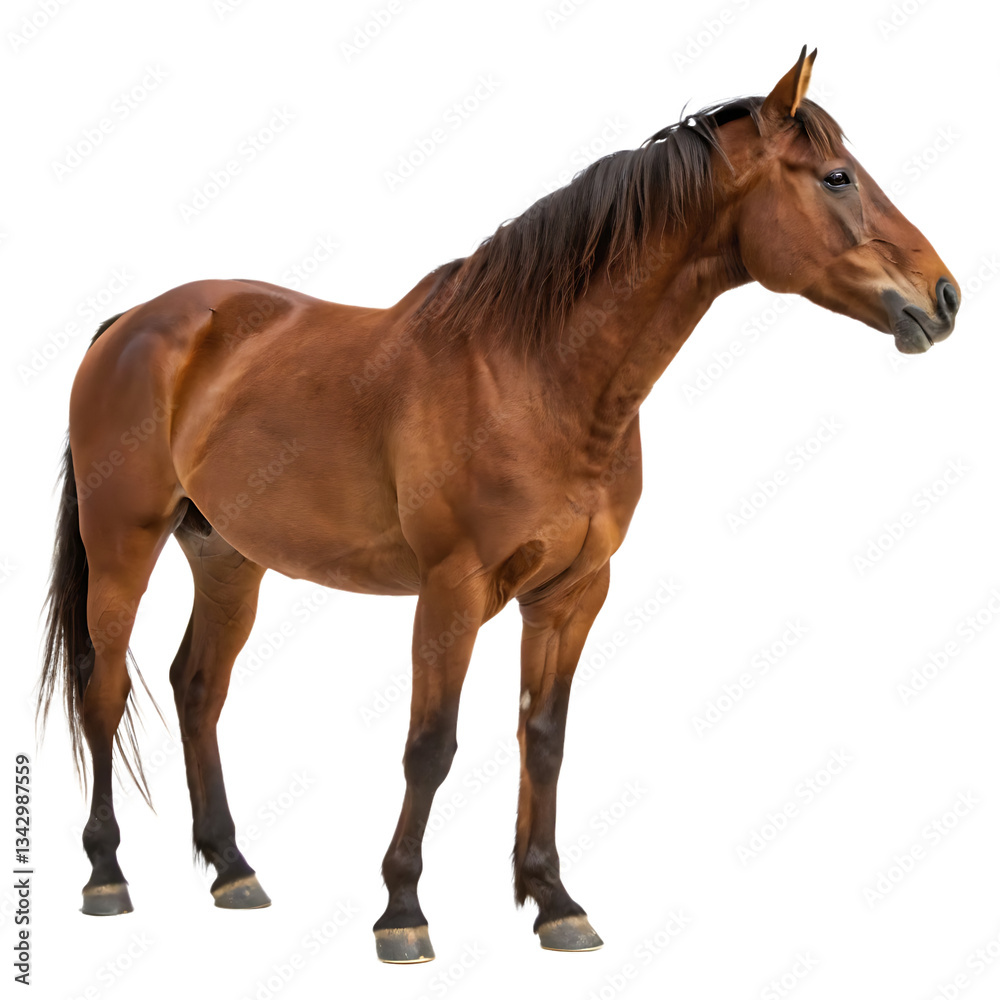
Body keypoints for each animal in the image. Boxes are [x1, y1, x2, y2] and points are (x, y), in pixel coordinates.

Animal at [37, 47, 959, 962]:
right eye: (838, 178)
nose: (944, 297)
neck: (532, 373)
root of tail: (135, 323)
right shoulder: (452, 592)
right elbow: (430, 746)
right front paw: (402, 911)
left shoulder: (570, 594)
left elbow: (543, 740)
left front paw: (553, 902)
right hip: (123, 546)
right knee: (104, 691)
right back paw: (105, 876)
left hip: (227, 557)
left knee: (197, 687)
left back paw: (233, 870)